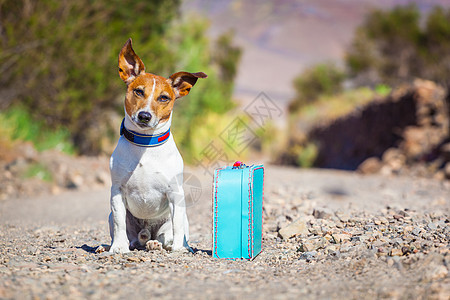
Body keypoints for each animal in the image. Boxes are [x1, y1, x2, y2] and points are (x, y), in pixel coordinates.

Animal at [109, 38, 207, 253]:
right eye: (138, 91)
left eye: (164, 98)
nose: (144, 116)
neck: (145, 144)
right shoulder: (117, 191)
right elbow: (120, 222)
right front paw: (117, 248)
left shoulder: (175, 193)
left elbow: (177, 225)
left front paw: (179, 249)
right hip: (115, 218)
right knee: (131, 237)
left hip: (175, 220)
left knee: (166, 235)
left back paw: (160, 244)